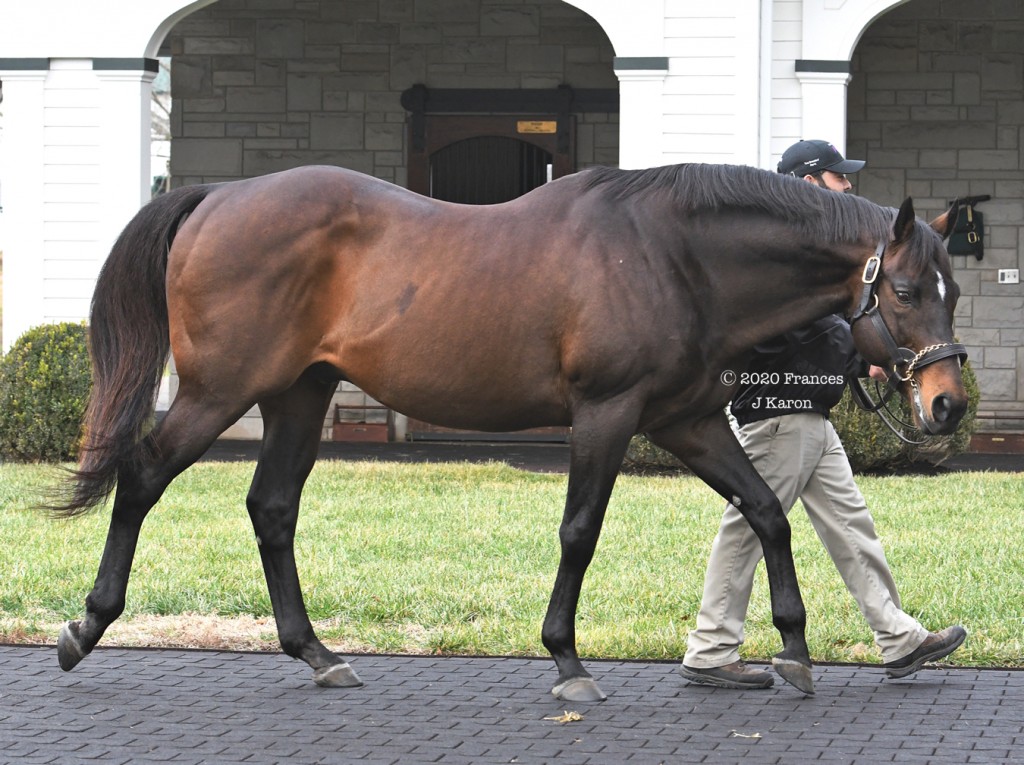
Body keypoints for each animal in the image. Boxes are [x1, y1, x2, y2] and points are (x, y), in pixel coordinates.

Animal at [54, 164, 966, 704]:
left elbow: (767, 512)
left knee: (272, 508)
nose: (948, 403)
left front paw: (794, 647)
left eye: (952, 290)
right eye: (907, 289)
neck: (672, 257)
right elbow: (579, 532)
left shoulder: (688, 419)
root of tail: (216, 194)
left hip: (298, 394)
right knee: (143, 477)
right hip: (220, 391)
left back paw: (316, 652)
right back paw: (86, 627)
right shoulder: (607, 412)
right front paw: (566, 660)